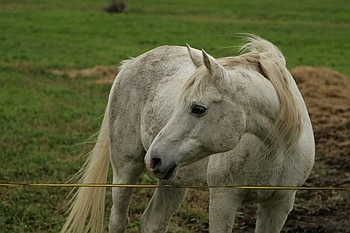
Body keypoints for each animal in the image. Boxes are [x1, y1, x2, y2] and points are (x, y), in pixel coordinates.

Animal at [60, 34, 314, 233]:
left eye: (198, 108)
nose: (154, 159)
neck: (275, 150)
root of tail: (131, 64)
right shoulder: (223, 200)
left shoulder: (279, 205)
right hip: (126, 168)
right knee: (118, 220)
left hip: (173, 181)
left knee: (152, 222)